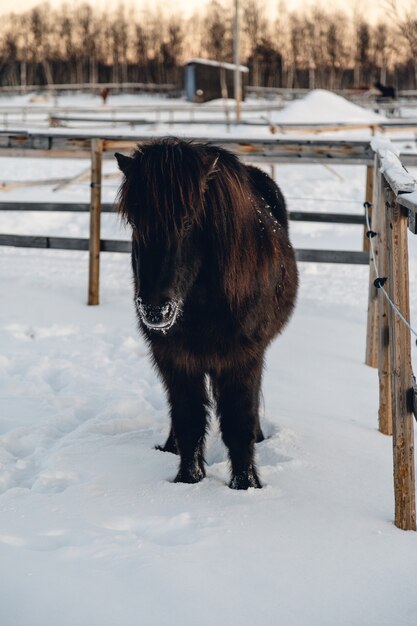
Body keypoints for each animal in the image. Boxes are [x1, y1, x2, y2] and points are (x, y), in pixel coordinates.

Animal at [115, 139, 298, 490]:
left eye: (187, 222)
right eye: (135, 222)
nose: (155, 309)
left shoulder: (242, 358)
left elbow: (238, 424)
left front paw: (245, 486)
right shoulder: (174, 357)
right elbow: (188, 420)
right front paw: (188, 480)